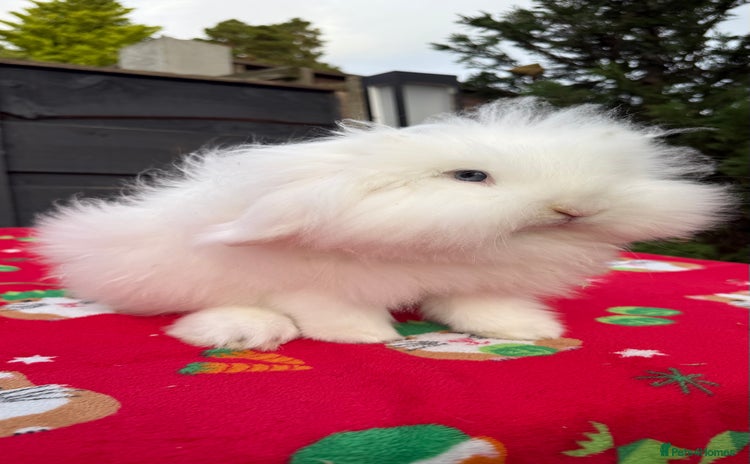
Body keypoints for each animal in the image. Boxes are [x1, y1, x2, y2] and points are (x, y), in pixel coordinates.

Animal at [32, 98, 733, 350]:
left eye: (606, 171)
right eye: (470, 177)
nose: (572, 208)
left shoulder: (471, 280)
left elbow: (479, 304)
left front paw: (526, 330)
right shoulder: (316, 284)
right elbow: (334, 314)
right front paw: (370, 339)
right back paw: (242, 331)